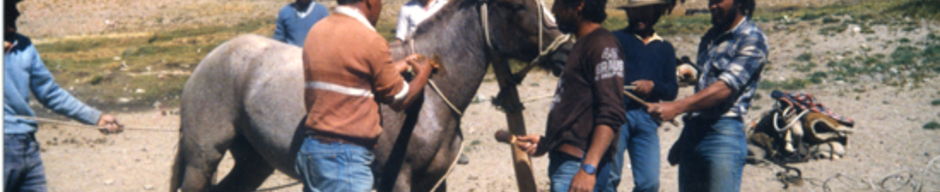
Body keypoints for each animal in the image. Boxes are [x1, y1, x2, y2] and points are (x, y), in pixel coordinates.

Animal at [168, 0, 564, 190]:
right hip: (202, 159)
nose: (566, 49)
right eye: (517, 6)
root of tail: (210, 60)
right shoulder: (398, 179)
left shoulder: (434, 180)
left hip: (254, 163)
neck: (427, 105)